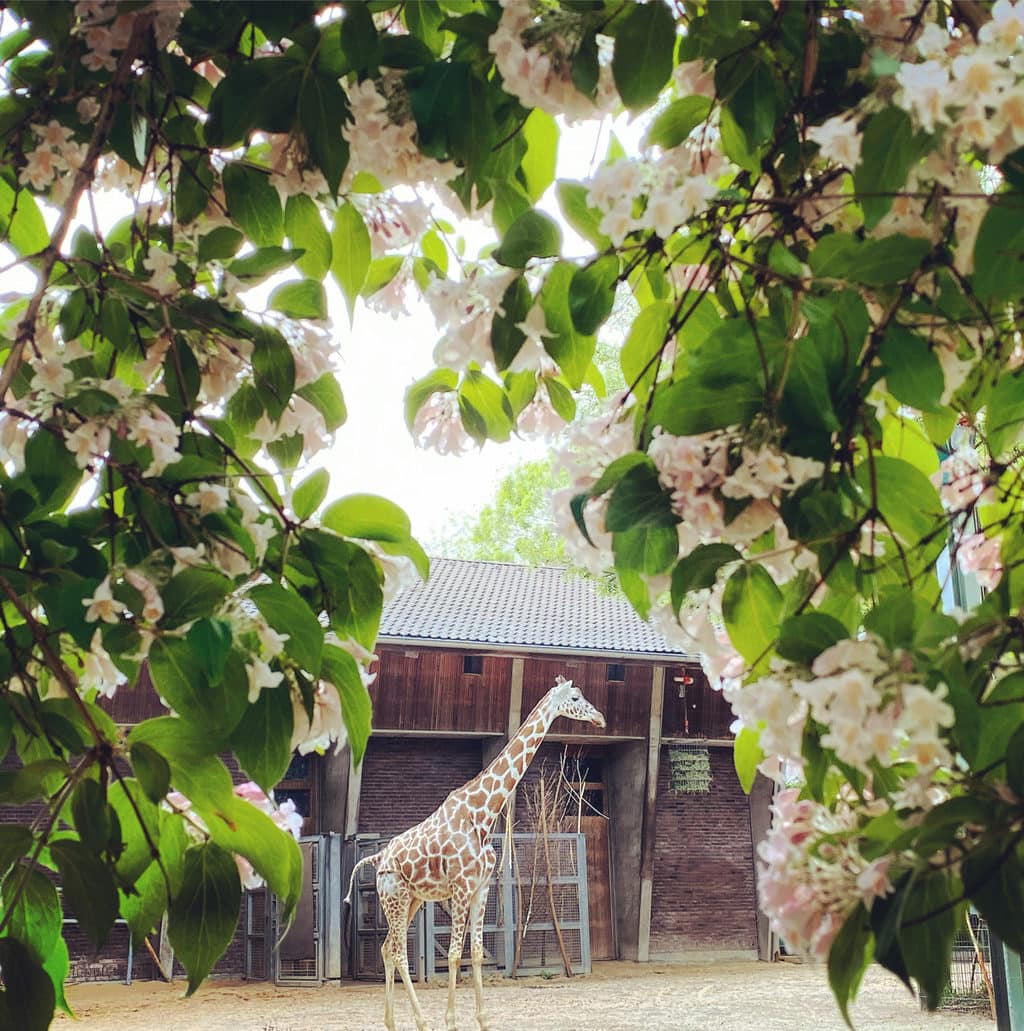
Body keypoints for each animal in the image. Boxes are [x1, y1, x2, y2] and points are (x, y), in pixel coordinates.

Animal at [346, 676, 598, 1031]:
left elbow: (476, 953)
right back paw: (422, 1021)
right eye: (575, 697)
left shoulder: (481, 887)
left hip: (412, 900)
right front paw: (451, 1020)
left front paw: (483, 1020)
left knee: (385, 949)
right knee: (398, 952)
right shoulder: (461, 887)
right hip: (394, 897)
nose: (600, 718)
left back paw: (392, 1022)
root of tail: (376, 859)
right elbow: (454, 955)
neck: (483, 813)